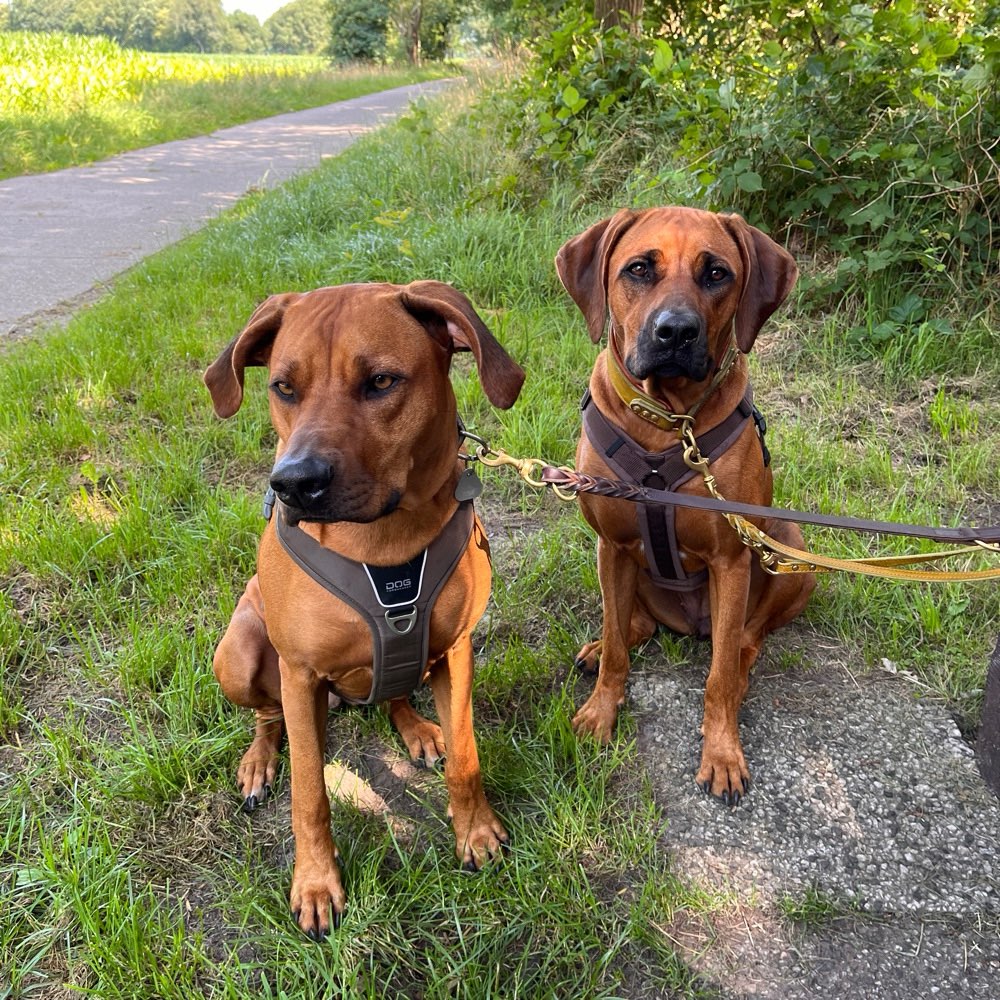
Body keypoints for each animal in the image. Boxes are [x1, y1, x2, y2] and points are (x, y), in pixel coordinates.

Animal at [203, 282, 524, 936]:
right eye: (284, 387)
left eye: (380, 381)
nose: (292, 483)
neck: (384, 541)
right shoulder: (299, 672)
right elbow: (309, 793)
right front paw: (315, 883)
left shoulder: (457, 649)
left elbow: (466, 756)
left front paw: (475, 831)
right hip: (239, 652)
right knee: (268, 715)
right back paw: (259, 760)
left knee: (395, 690)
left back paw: (416, 729)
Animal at [560, 209, 816, 804]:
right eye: (638, 268)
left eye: (716, 273)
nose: (675, 332)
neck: (667, 420)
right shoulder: (611, 546)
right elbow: (617, 650)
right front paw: (601, 711)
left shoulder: (731, 559)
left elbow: (717, 678)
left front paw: (721, 752)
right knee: (633, 626)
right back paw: (604, 644)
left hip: (789, 549)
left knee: (743, 641)